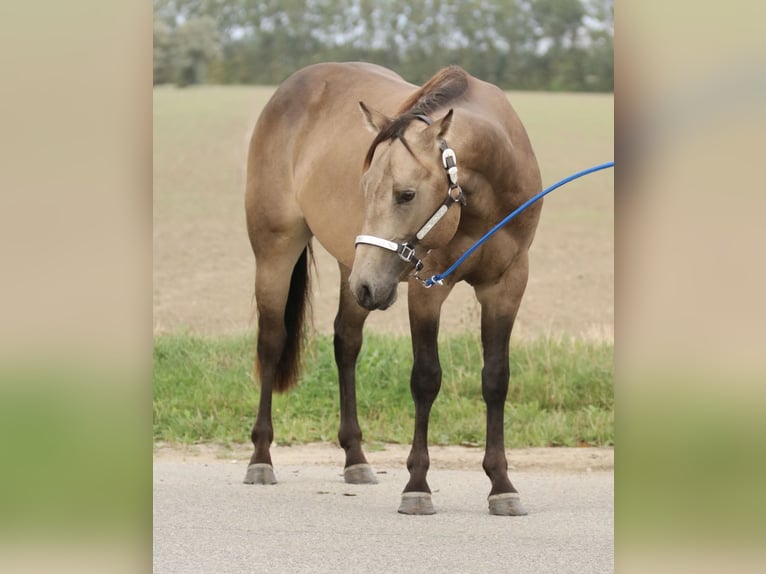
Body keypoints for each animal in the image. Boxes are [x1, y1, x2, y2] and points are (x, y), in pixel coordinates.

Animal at [243, 62, 542, 515]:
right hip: (282, 253)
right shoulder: (428, 289)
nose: (367, 286)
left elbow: (496, 379)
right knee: (272, 343)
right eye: (365, 189)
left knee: (346, 343)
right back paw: (260, 458)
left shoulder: (506, 285)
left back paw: (355, 459)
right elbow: (426, 378)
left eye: (406, 194)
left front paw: (501, 485)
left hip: (356, 271)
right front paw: (417, 485)